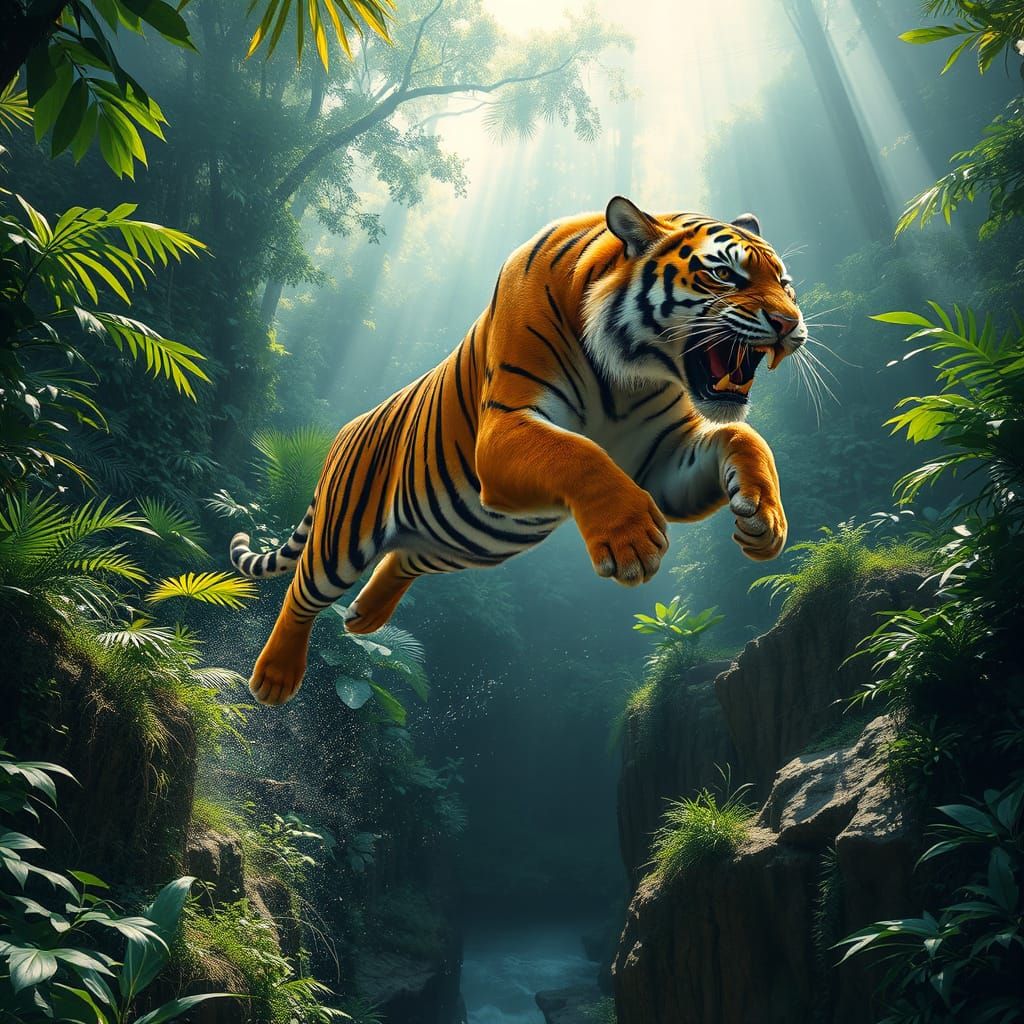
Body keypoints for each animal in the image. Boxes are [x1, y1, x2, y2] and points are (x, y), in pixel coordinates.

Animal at [231, 196, 807, 706]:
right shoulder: (505, 427)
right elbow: (579, 454)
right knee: (302, 591)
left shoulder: (665, 460)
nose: (790, 325)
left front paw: (765, 520)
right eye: (725, 275)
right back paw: (274, 678)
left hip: (467, 540)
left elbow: (744, 436)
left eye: (785, 285)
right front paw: (632, 542)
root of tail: (341, 434)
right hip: (342, 539)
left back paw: (364, 617)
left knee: (403, 557)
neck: (631, 374)